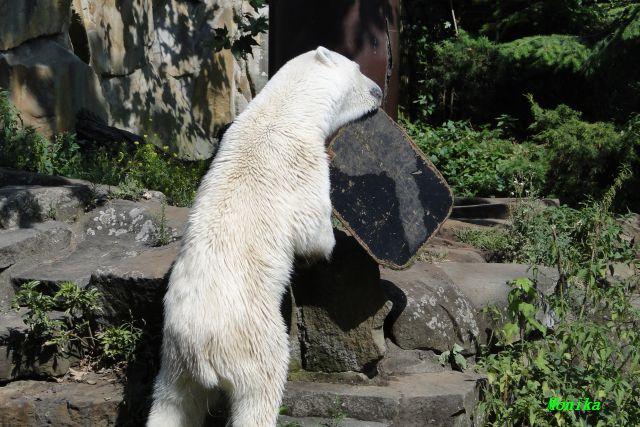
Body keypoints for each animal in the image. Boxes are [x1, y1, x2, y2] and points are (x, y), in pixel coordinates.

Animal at [147, 46, 383, 427]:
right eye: (359, 70)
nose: (379, 92)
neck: (282, 110)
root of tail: (203, 350)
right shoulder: (303, 163)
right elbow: (313, 229)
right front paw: (326, 247)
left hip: (174, 358)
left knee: (171, 403)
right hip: (253, 341)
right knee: (261, 390)